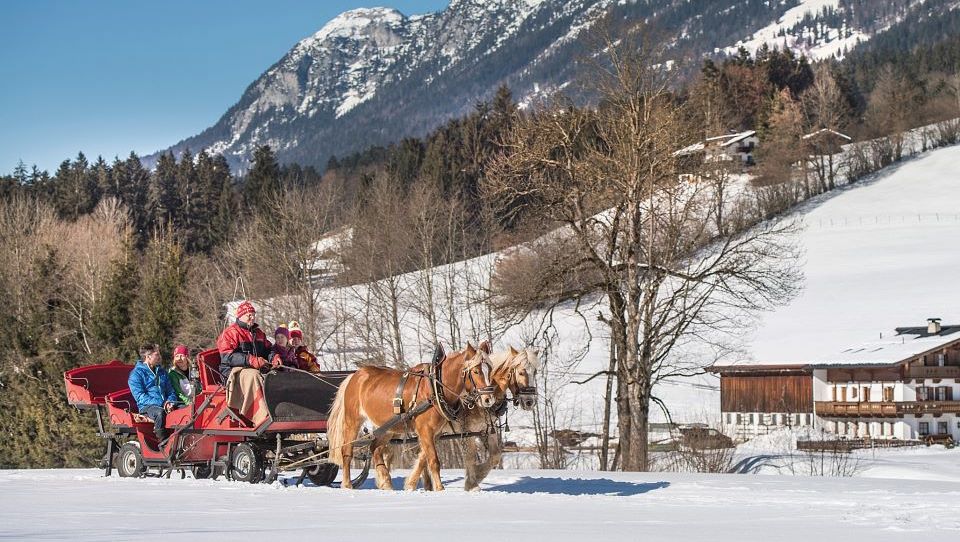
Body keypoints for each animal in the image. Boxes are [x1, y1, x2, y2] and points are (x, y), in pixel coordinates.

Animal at [328, 344, 496, 492]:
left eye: (490, 369)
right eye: (476, 371)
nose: (489, 399)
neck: (435, 387)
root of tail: (354, 375)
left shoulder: (435, 433)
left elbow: (423, 459)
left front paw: (413, 484)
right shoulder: (425, 430)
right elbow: (433, 460)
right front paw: (439, 488)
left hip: (387, 428)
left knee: (374, 448)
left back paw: (386, 482)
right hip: (352, 421)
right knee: (346, 450)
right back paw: (347, 484)